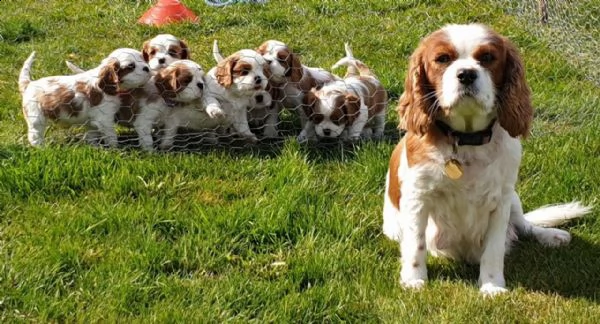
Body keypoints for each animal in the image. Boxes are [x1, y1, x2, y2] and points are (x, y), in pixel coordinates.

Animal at [18, 48, 151, 147]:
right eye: (131, 66)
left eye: (144, 59)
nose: (147, 68)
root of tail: (28, 84)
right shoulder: (104, 119)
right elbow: (111, 136)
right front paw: (115, 149)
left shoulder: (92, 121)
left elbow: (92, 135)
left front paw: (95, 147)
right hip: (36, 118)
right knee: (35, 136)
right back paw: (41, 148)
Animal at [384, 22, 592, 296]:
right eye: (442, 59)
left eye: (487, 58)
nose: (466, 74)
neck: (466, 139)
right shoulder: (417, 198)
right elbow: (415, 244)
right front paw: (413, 280)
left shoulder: (501, 200)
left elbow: (494, 250)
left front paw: (492, 285)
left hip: (514, 200)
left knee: (524, 225)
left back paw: (551, 235)